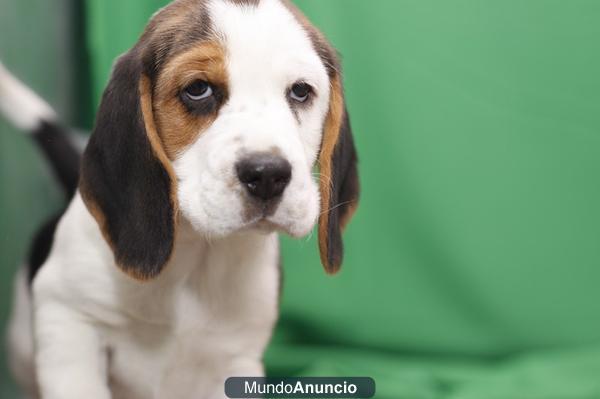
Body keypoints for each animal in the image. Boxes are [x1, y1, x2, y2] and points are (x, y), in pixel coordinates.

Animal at [2, 0, 358, 399]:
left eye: (300, 91)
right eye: (198, 89)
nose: (268, 174)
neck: (195, 256)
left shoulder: (237, 358)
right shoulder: (67, 321)